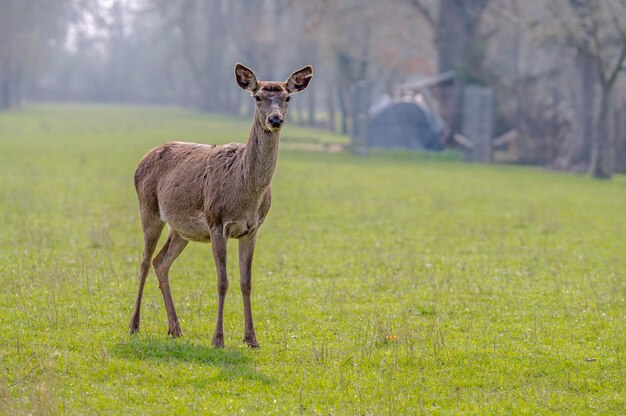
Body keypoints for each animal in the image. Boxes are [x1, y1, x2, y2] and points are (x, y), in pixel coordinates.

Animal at [127, 62, 312, 348]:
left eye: (287, 98)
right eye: (257, 97)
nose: (275, 120)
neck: (246, 196)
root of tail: (140, 162)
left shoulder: (252, 229)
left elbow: (246, 282)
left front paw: (251, 339)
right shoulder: (217, 222)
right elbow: (222, 281)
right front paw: (218, 339)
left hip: (180, 229)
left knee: (161, 262)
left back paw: (175, 329)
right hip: (149, 209)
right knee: (145, 262)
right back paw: (134, 325)